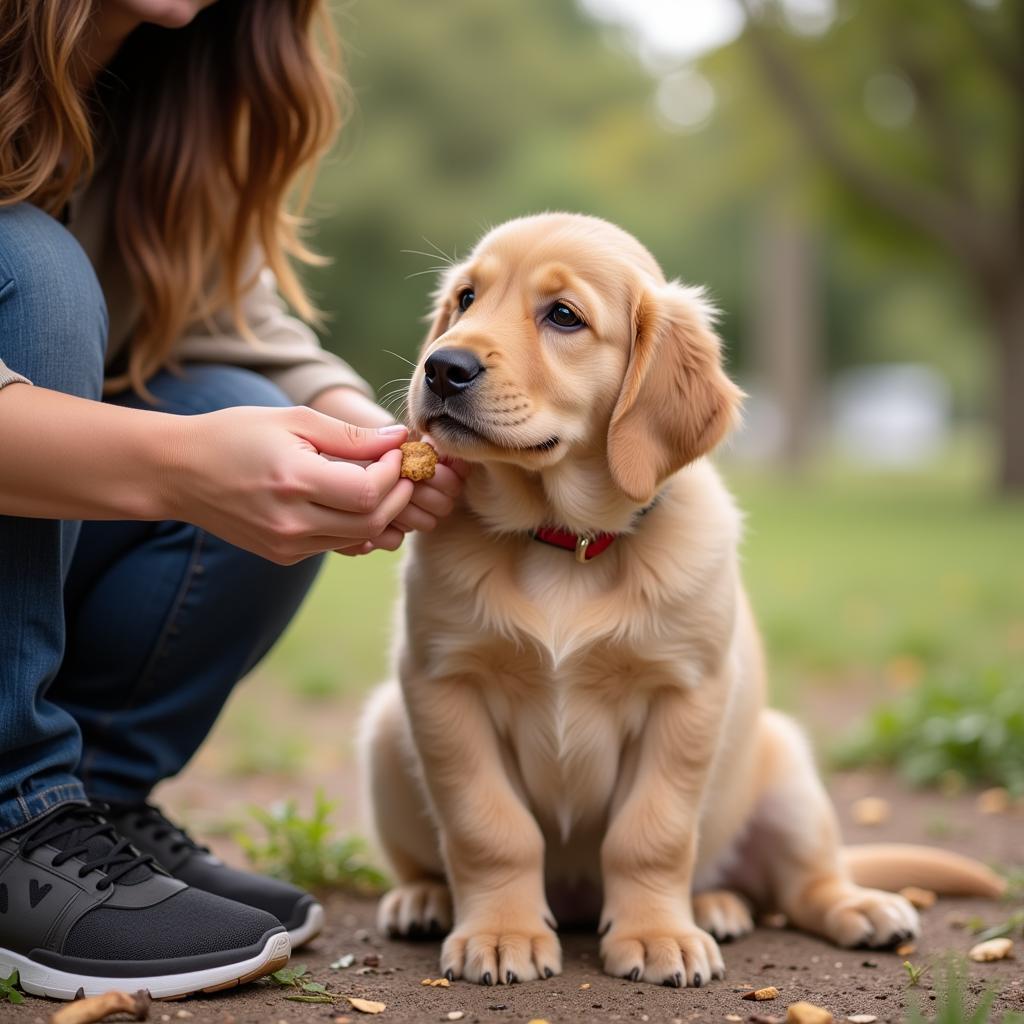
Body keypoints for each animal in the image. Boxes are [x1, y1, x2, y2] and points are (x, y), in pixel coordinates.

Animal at [362, 211, 1007, 987]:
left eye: (563, 316)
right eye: (465, 299)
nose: (442, 368)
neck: (565, 542)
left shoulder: (686, 691)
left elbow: (653, 832)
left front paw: (656, 935)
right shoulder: (442, 684)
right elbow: (489, 827)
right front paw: (501, 932)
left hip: (785, 766)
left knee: (801, 883)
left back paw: (818, 906)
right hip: (386, 732)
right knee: (427, 858)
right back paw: (424, 898)